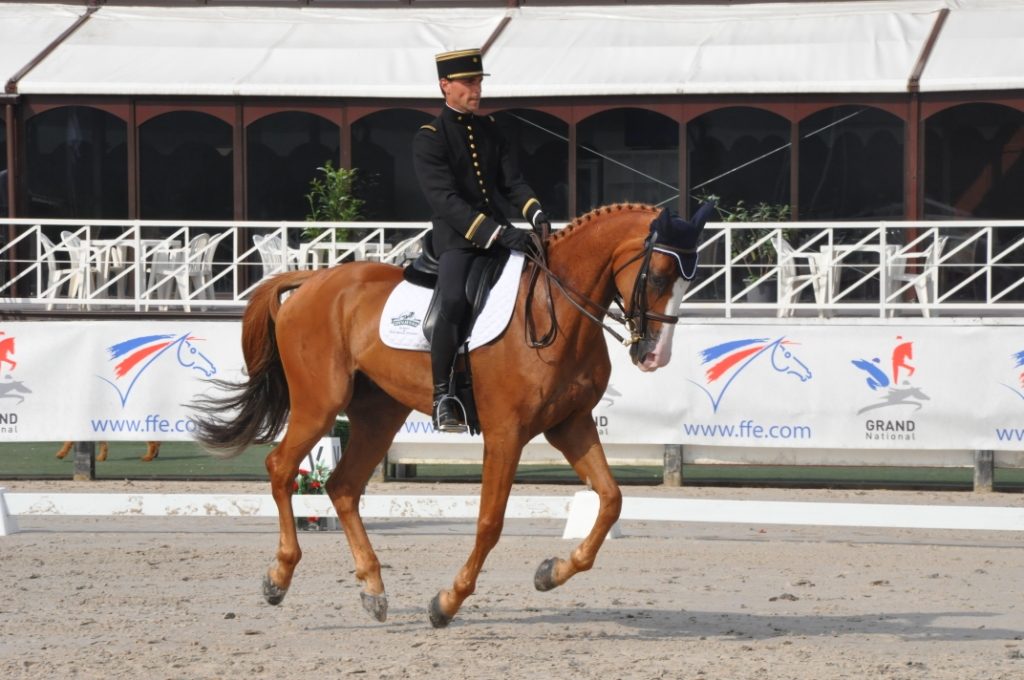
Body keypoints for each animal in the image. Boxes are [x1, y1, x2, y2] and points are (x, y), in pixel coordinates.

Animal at [190, 200, 704, 626]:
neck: (555, 307)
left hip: (379, 414)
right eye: (658, 276)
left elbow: (611, 499)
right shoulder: (507, 432)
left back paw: (373, 589)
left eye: (688, 280)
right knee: (281, 468)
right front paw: (447, 602)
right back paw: (279, 577)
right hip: (319, 405)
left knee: (342, 486)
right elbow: (490, 523)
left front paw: (550, 573)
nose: (654, 356)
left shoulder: (569, 425)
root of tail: (313, 282)